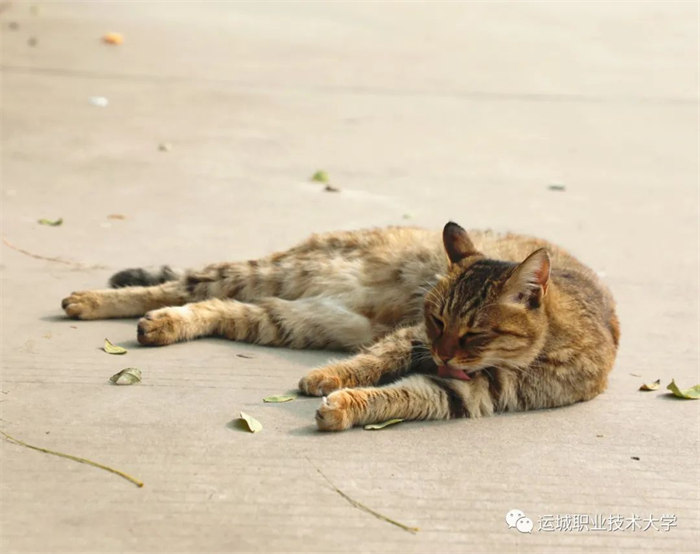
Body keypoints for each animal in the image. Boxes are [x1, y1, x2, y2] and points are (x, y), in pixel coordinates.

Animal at [61, 222, 620, 431]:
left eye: (474, 333)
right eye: (437, 319)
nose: (442, 353)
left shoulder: (474, 392)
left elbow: (402, 394)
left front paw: (345, 405)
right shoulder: (412, 336)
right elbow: (377, 360)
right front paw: (329, 379)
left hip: (298, 319)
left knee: (219, 306)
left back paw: (160, 325)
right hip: (278, 272)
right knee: (186, 284)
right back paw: (93, 300)